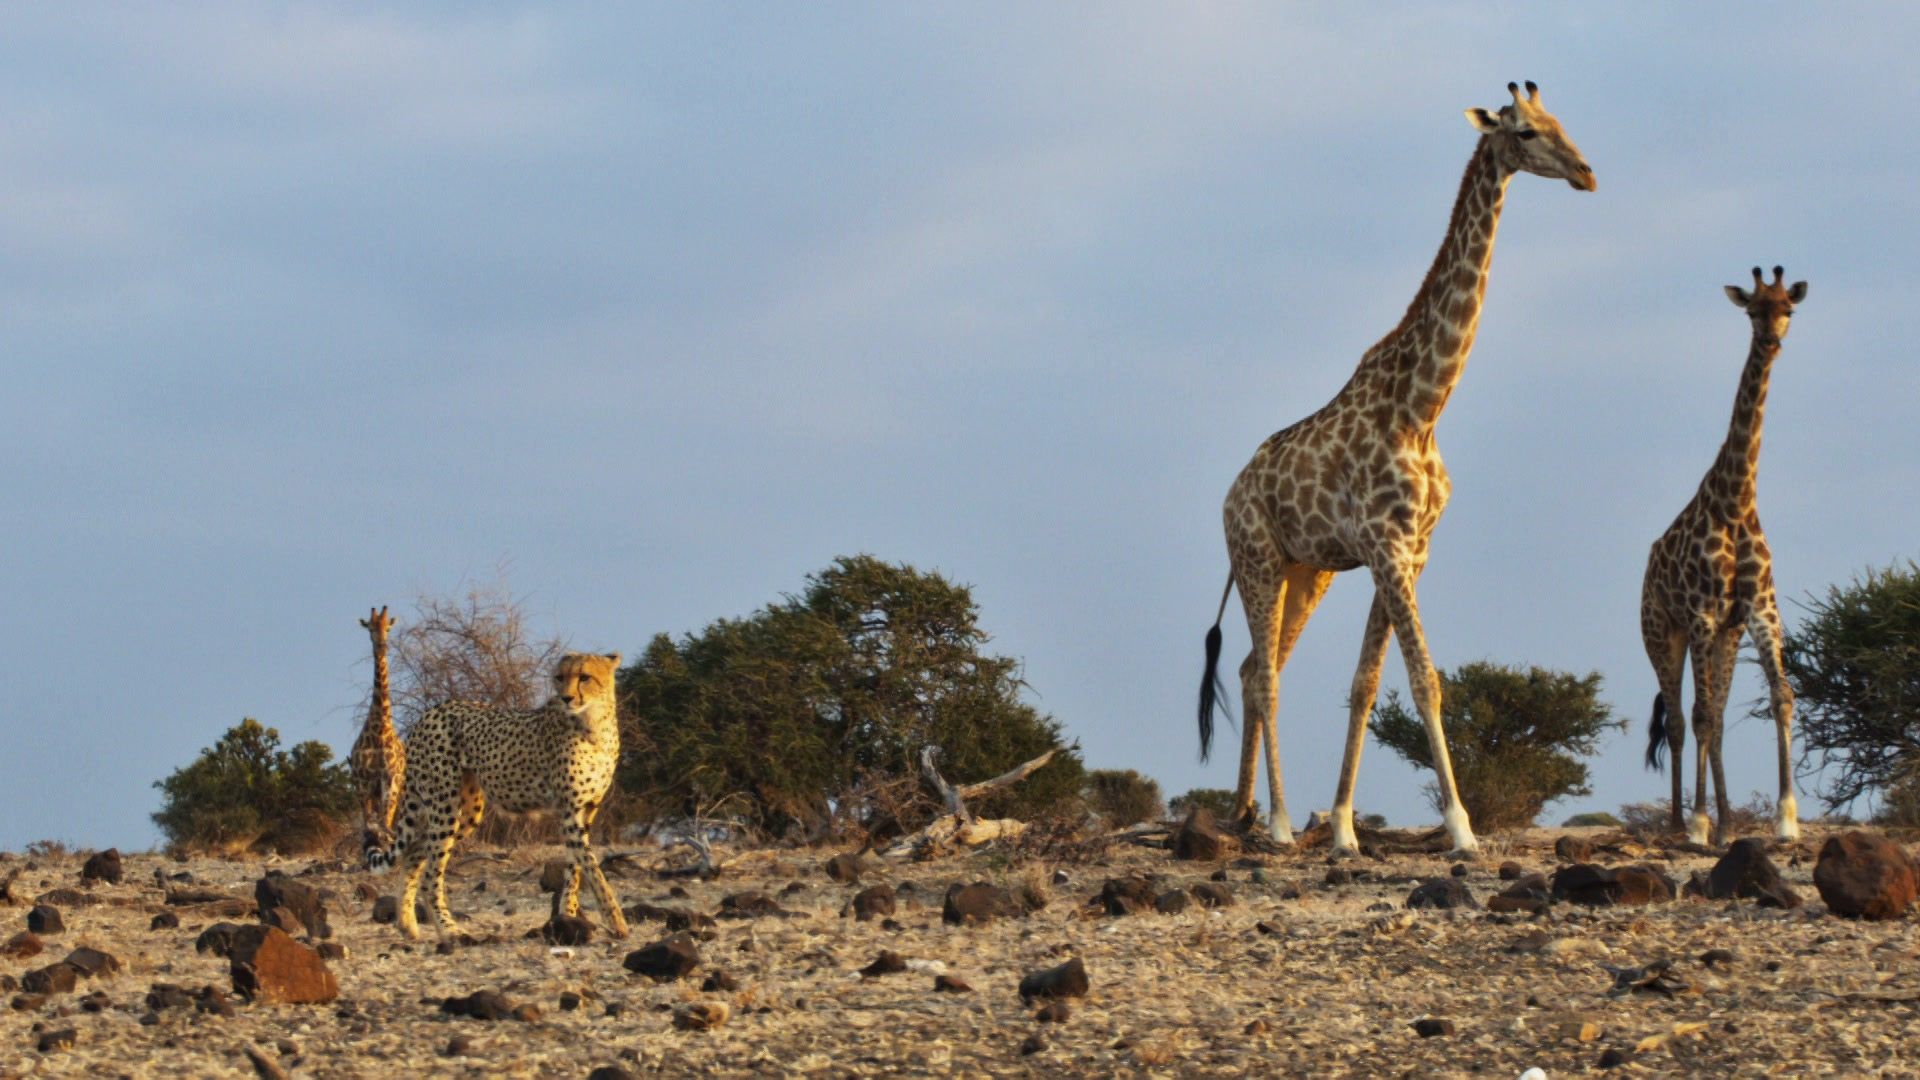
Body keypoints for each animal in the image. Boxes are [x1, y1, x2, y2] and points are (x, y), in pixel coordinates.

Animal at [360, 645, 629, 933]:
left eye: (585, 677)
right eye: (560, 677)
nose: (566, 698)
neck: (593, 723)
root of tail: (431, 711)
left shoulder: (586, 810)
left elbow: (576, 868)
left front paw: (568, 915)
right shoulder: (569, 811)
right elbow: (591, 866)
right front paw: (616, 920)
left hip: (466, 812)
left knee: (414, 853)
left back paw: (408, 926)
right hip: (444, 806)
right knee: (430, 873)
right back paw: (448, 929)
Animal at [1190, 82, 1597, 857]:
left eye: (1565, 123)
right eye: (1526, 133)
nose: (1588, 174)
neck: (1424, 404)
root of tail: (1228, 495)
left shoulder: (1410, 552)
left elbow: (1366, 685)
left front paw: (1346, 829)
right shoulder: (1385, 546)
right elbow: (1424, 679)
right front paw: (1462, 831)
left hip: (1304, 571)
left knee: (1256, 667)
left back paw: (1243, 813)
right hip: (1257, 558)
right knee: (1265, 678)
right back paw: (1278, 825)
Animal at [1643, 267, 1804, 841]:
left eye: (1787, 309)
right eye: (1753, 310)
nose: (1773, 341)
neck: (1737, 501)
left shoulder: (1757, 611)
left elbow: (1782, 697)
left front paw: (1786, 820)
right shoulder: (1702, 613)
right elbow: (1701, 716)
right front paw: (1698, 822)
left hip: (1725, 638)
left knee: (1711, 714)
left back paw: (1728, 817)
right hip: (1662, 631)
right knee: (1679, 718)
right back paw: (1677, 820)